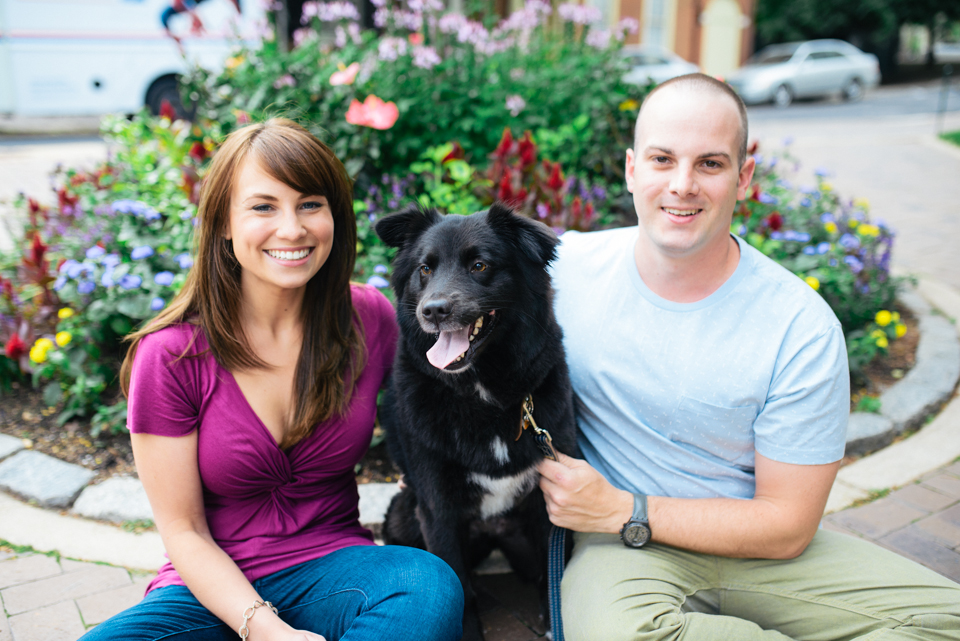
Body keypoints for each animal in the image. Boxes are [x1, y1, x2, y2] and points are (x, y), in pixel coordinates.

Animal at [372, 202, 572, 636]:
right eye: (424, 269)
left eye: (480, 265)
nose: (433, 311)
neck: (482, 397)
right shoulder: (437, 510)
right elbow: (459, 589)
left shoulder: (549, 502)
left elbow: (556, 582)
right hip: (401, 516)